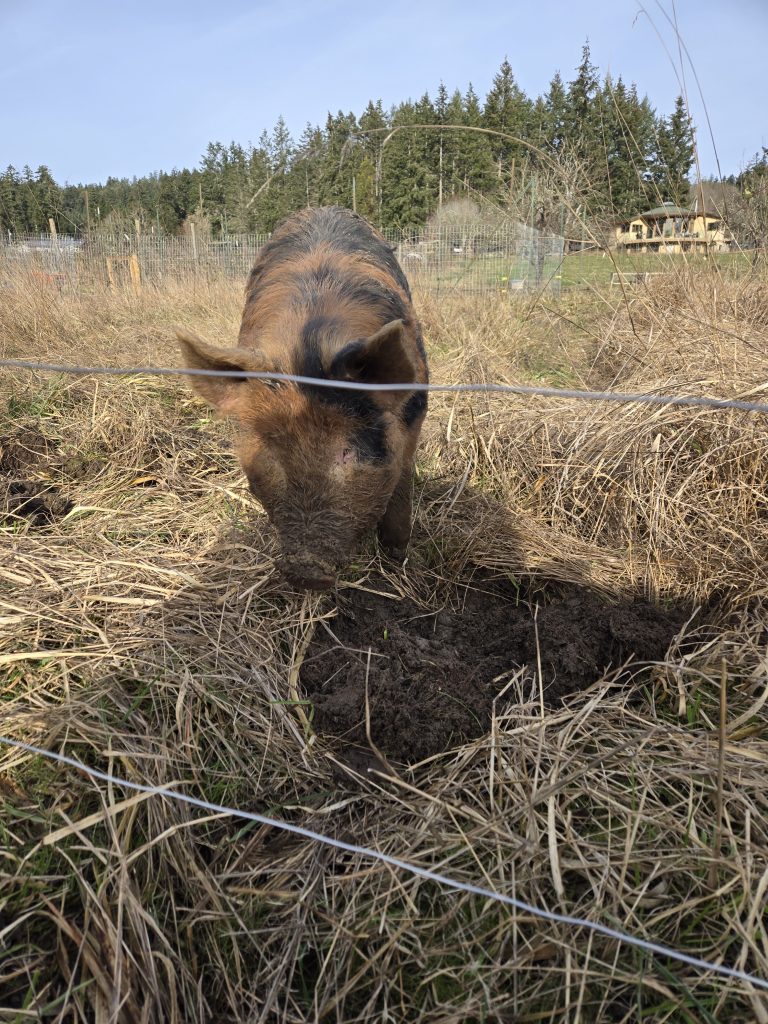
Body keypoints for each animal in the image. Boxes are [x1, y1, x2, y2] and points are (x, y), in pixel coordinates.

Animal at [177, 206, 428, 591]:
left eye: (347, 451)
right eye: (270, 449)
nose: (304, 569)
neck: (308, 346)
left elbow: (401, 488)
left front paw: (397, 559)